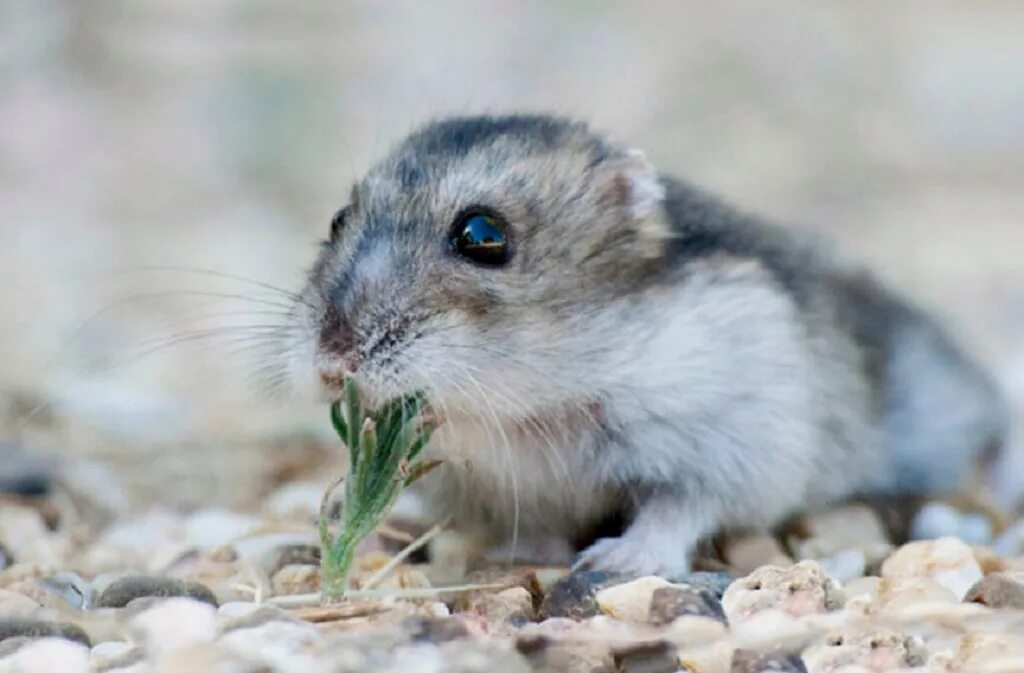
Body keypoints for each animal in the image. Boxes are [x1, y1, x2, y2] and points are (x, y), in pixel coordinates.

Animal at [280, 114, 1007, 573]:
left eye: (483, 235)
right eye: (337, 219)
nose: (332, 361)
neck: (540, 387)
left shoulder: (729, 443)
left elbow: (676, 508)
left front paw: (613, 563)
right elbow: (528, 513)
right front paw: (519, 556)